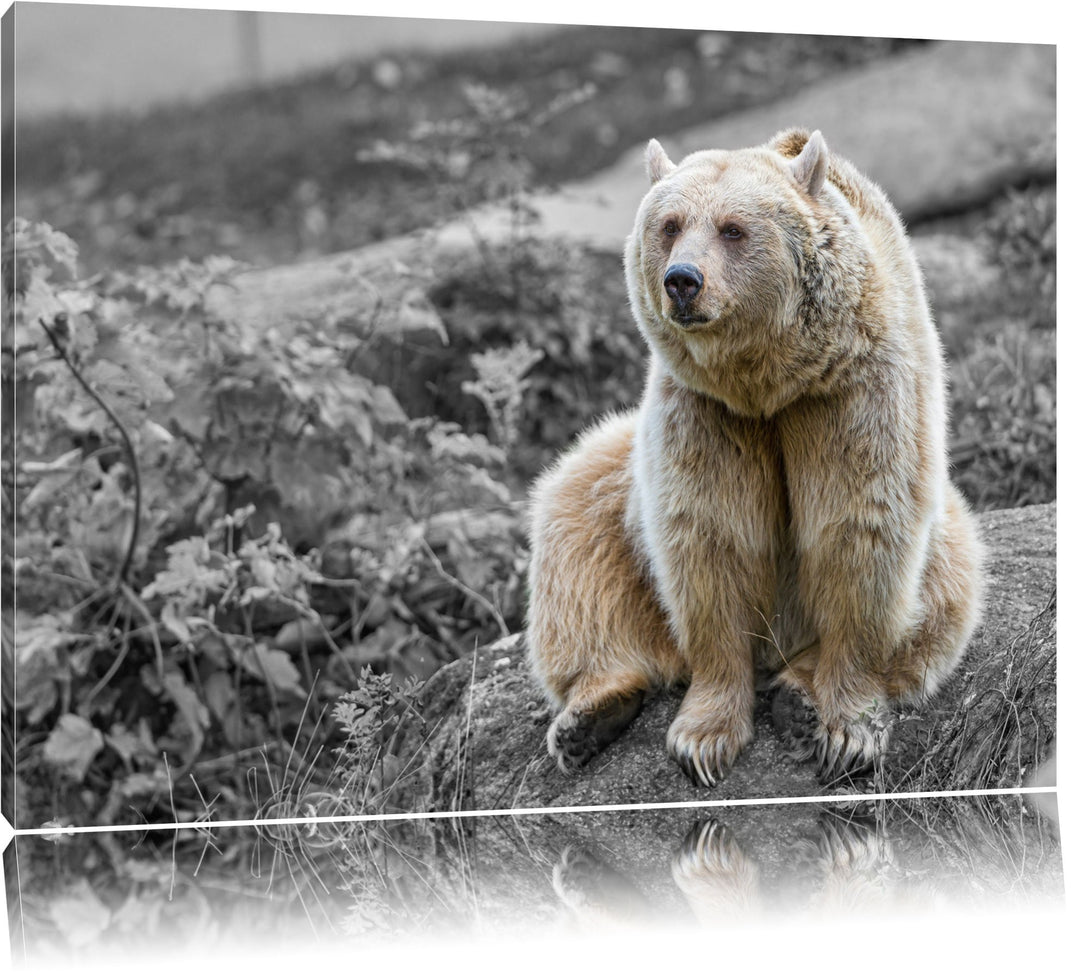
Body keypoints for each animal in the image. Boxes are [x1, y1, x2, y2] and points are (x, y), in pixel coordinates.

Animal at [526, 128, 984, 786]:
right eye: (670, 225)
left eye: (733, 229)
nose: (682, 281)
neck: (769, 382)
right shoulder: (706, 414)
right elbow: (709, 538)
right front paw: (703, 738)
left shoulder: (852, 393)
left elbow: (859, 528)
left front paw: (847, 732)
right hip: (614, 479)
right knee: (575, 537)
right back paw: (591, 714)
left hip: (946, 530)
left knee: (945, 589)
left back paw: (797, 694)